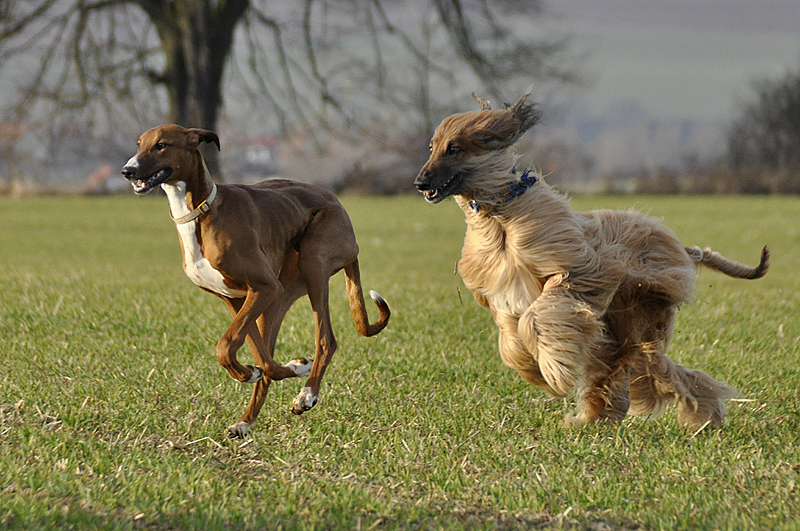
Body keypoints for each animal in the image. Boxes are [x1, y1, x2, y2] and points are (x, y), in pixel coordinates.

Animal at [121, 123, 390, 436]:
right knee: (271, 359)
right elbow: (261, 360)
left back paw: (307, 393)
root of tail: (336, 202)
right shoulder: (238, 299)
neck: (201, 212)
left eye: (162, 145)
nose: (127, 170)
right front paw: (268, 370)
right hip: (278, 298)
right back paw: (247, 420)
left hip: (313, 262)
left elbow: (225, 346)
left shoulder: (263, 288)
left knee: (326, 340)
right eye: (139, 144)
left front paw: (272, 371)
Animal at [416, 92, 764, 432]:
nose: (420, 183)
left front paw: (553, 371)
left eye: (454, 148)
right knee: (643, 369)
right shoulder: (500, 291)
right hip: (623, 331)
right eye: (432, 148)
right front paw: (532, 368)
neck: (500, 216)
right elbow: (511, 335)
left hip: (642, 315)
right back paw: (609, 416)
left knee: (654, 368)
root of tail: (683, 249)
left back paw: (703, 416)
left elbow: (537, 316)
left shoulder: (578, 271)